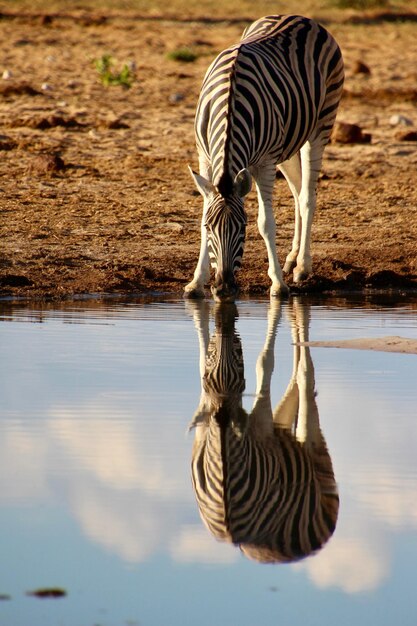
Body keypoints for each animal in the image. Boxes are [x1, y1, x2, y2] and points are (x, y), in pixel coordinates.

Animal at [184, 12, 342, 300]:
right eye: (209, 228)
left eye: (242, 229)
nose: (223, 289)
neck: (230, 103)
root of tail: (300, 17)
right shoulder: (204, 156)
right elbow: (203, 210)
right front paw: (196, 282)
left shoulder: (265, 163)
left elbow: (266, 222)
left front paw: (278, 284)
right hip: (289, 142)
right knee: (297, 191)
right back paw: (291, 258)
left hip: (322, 124)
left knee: (307, 196)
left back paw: (302, 267)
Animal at [188, 298, 338, 560]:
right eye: (207, 378)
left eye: (239, 352)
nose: (223, 328)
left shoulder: (262, 425)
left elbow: (264, 362)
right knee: (295, 381)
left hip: (313, 452)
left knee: (305, 376)